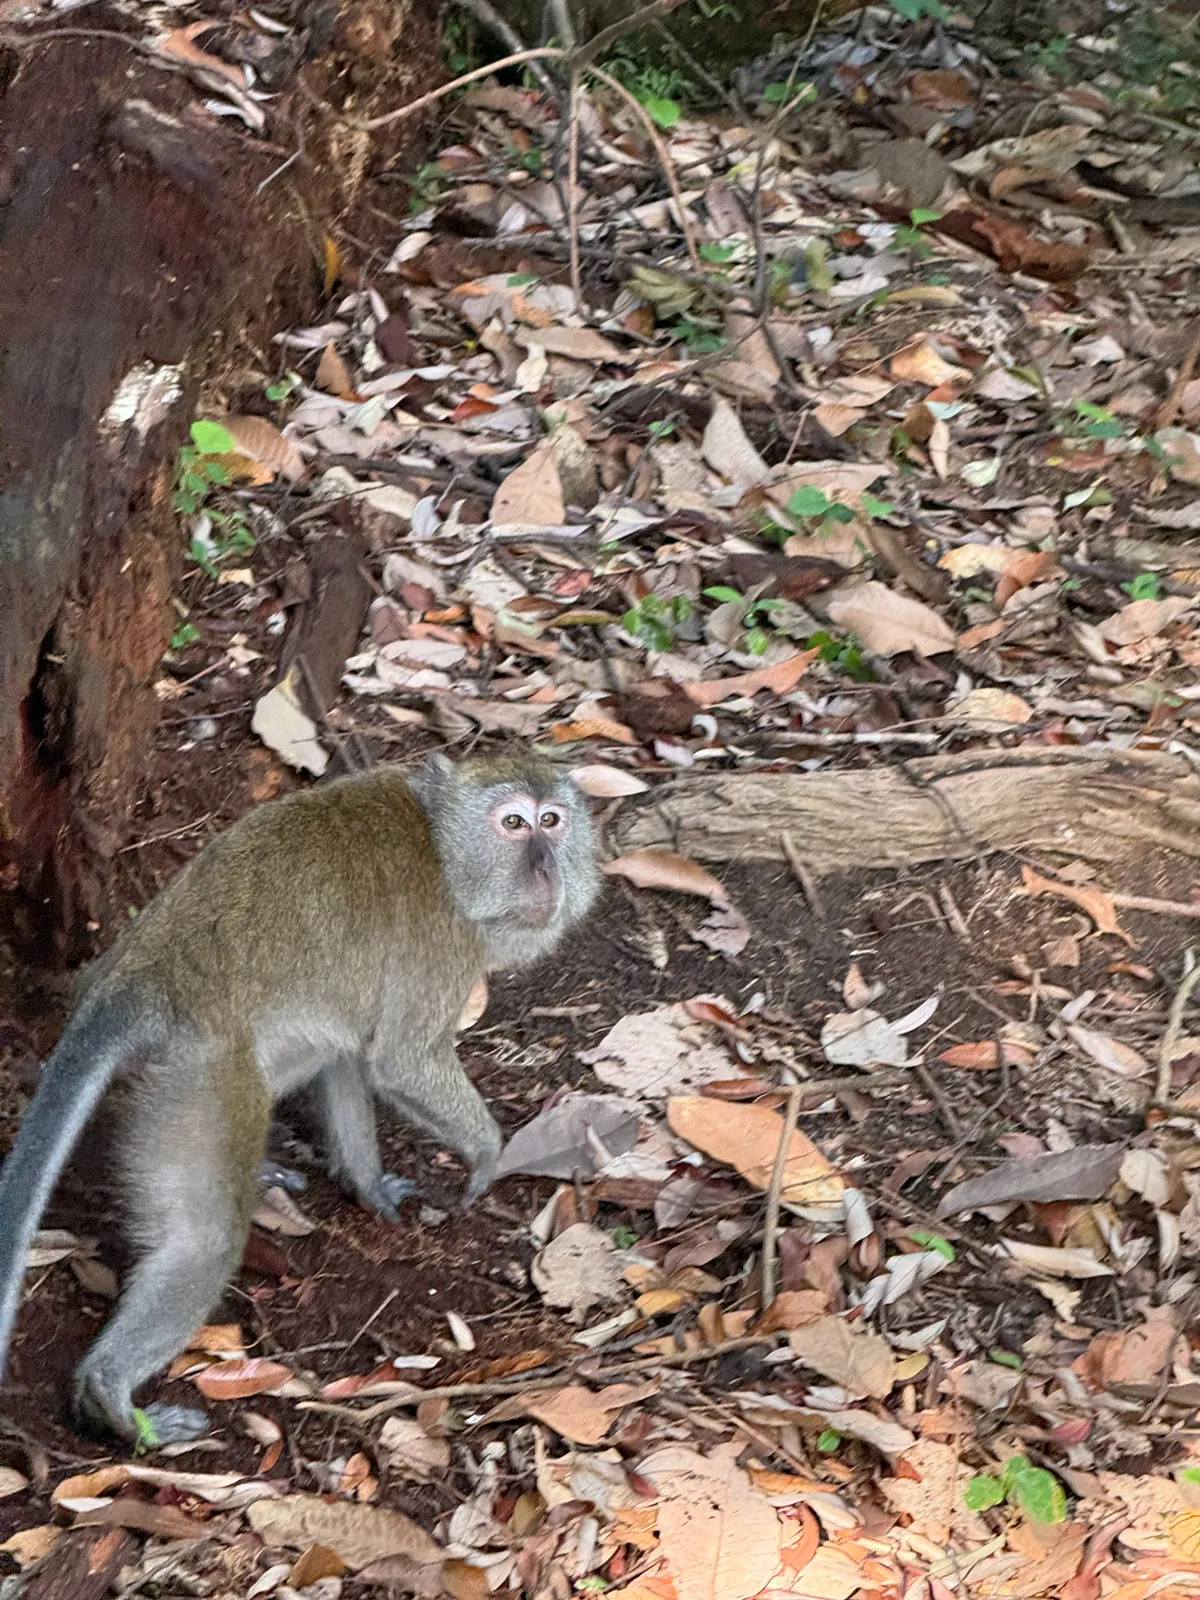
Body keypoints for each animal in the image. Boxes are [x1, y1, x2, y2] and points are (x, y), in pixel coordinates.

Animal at [0, 753, 598, 1447]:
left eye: (552, 821)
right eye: (514, 823)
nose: (545, 866)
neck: (444, 845)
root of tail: (137, 978)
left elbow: (350, 1057)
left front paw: (366, 1181)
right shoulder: (441, 941)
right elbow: (401, 1060)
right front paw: (487, 1155)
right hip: (204, 1076)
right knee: (206, 1238)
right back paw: (110, 1398)